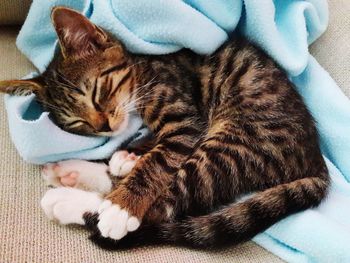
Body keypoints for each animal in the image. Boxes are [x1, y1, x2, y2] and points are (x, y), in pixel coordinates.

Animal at [0, 6, 330, 250]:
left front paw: (123, 202)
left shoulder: (185, 118)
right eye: (77, 123)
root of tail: (315, 157)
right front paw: (130, 154)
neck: (142, 71)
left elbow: (159, 160)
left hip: (239, 140)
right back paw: (77, 171)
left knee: (169, 201)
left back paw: (87, 204)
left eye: (96, 92)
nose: (103, 126)